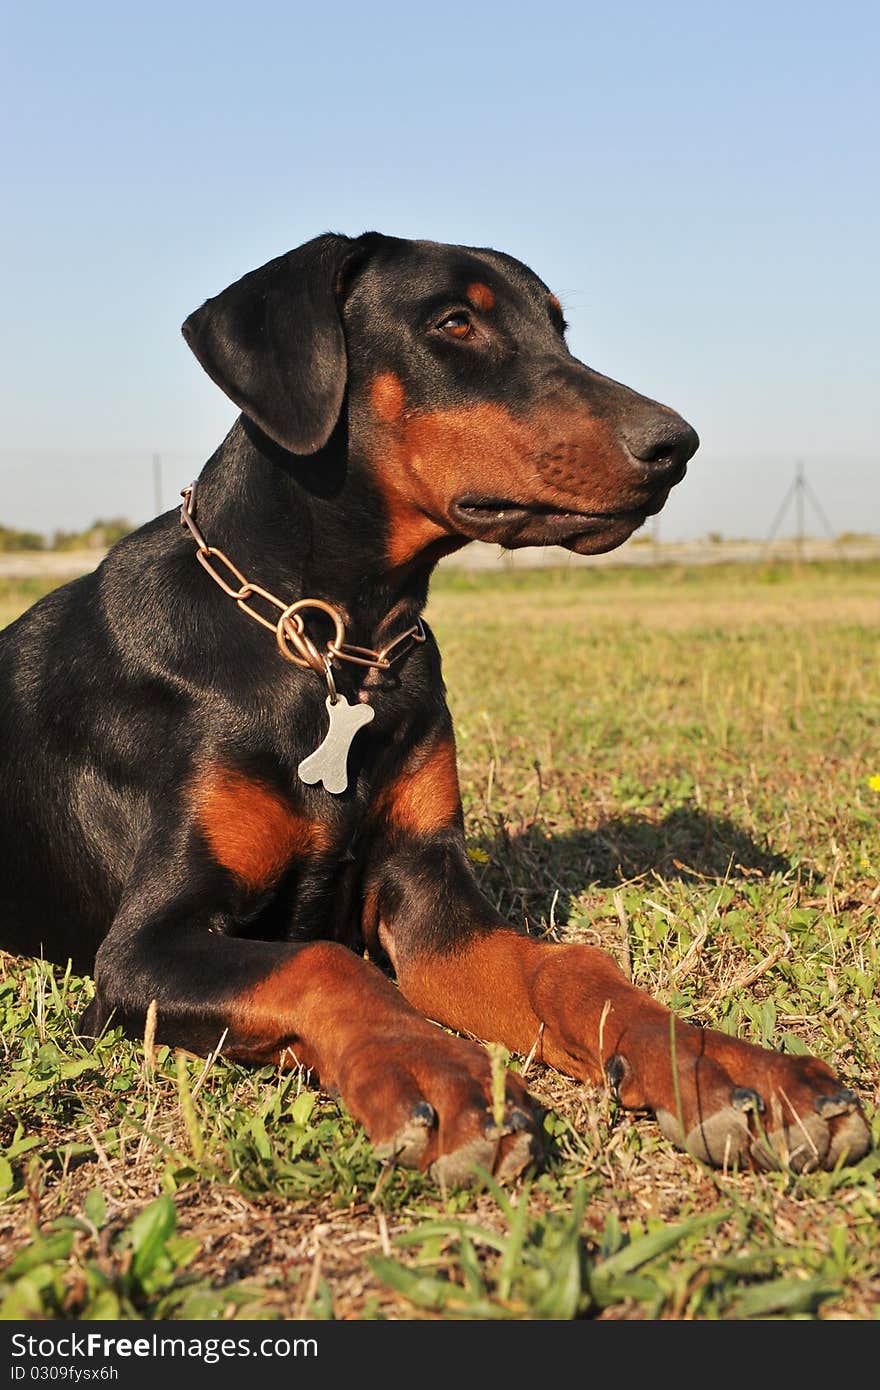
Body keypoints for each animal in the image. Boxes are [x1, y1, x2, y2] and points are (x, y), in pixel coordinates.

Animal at [0, 233, 867, 1178]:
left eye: (559, 327)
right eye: (454, 323)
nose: (676, 444)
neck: (336, 645)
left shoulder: (430, 898)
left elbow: (571, 968)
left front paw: (730, 1068)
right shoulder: (140, 949)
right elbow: (322, 964)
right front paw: (440, 1074)